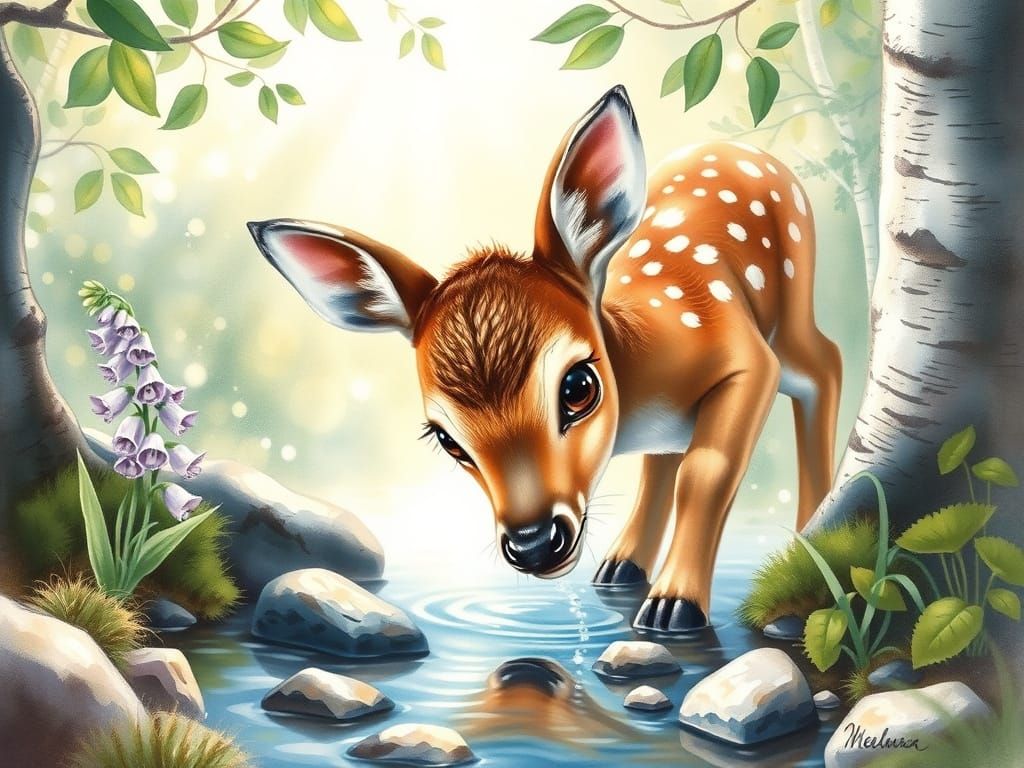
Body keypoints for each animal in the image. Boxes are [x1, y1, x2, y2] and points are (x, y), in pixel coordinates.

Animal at [247, 85, 841, 633]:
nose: (533, 544)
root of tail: (751, 152)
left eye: (578, 387)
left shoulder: (746, 359)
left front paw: (675, 607)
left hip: (791, 301)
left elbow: (706, 471)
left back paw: (808, 537)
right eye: (445, 438)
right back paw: (621, 565)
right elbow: (675, 466)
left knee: (826, 362)